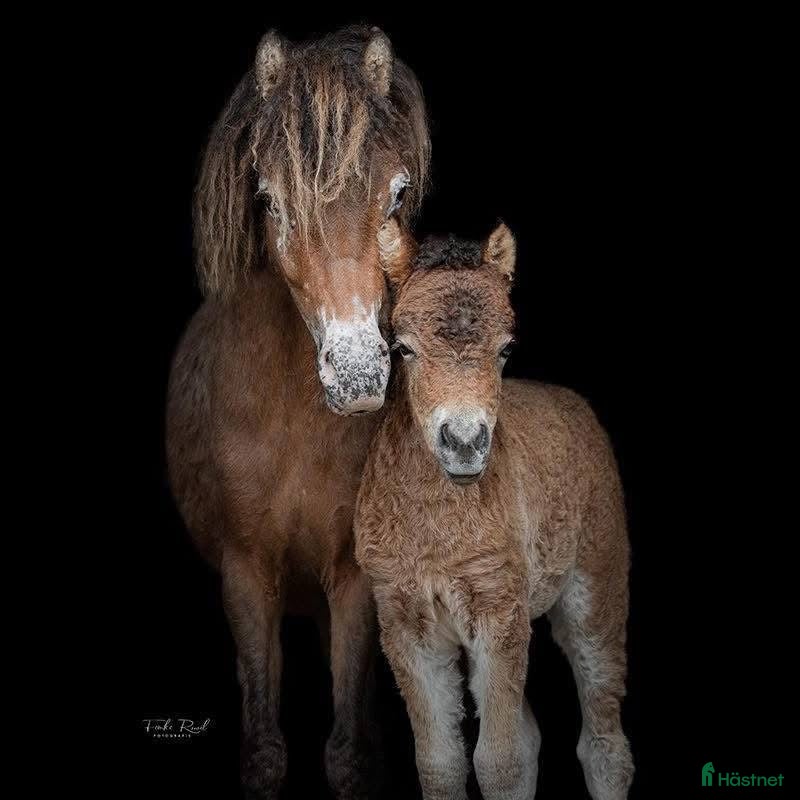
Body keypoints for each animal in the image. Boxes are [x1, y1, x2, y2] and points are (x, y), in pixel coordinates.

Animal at [166, 26, 430, 799]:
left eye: (397, 194)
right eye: (270, 199)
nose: (358, 372)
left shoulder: (353, 575)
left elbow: (347, 756)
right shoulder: (246, 572)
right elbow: (264, 753)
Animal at [354, 220, 634, 800]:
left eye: (506, 348)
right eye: (402, 347)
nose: (464, 442)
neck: (437, 527)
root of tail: (574, 405)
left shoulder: (500, 613)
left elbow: (499, 762)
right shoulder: (405, 625)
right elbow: (442, 763)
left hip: (595, 589)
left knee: (604, 743)